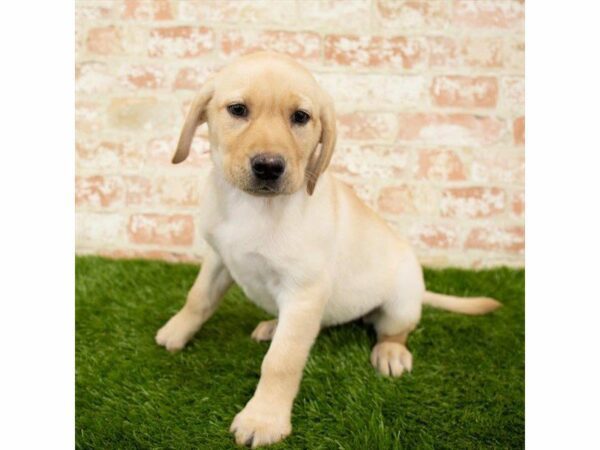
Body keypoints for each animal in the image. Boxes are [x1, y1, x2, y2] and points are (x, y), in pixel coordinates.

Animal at [156, 51, 502, 446]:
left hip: (400, 303)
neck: (253, 208)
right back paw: (273, 325)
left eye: (301, 117)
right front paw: (177, 331)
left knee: (393, 330)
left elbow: (282, 361)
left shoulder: (304, 292)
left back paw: (391, 352)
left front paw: (264, 418)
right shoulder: (219, 258)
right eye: (238, 110)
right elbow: (198, 298)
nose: (269, 167)